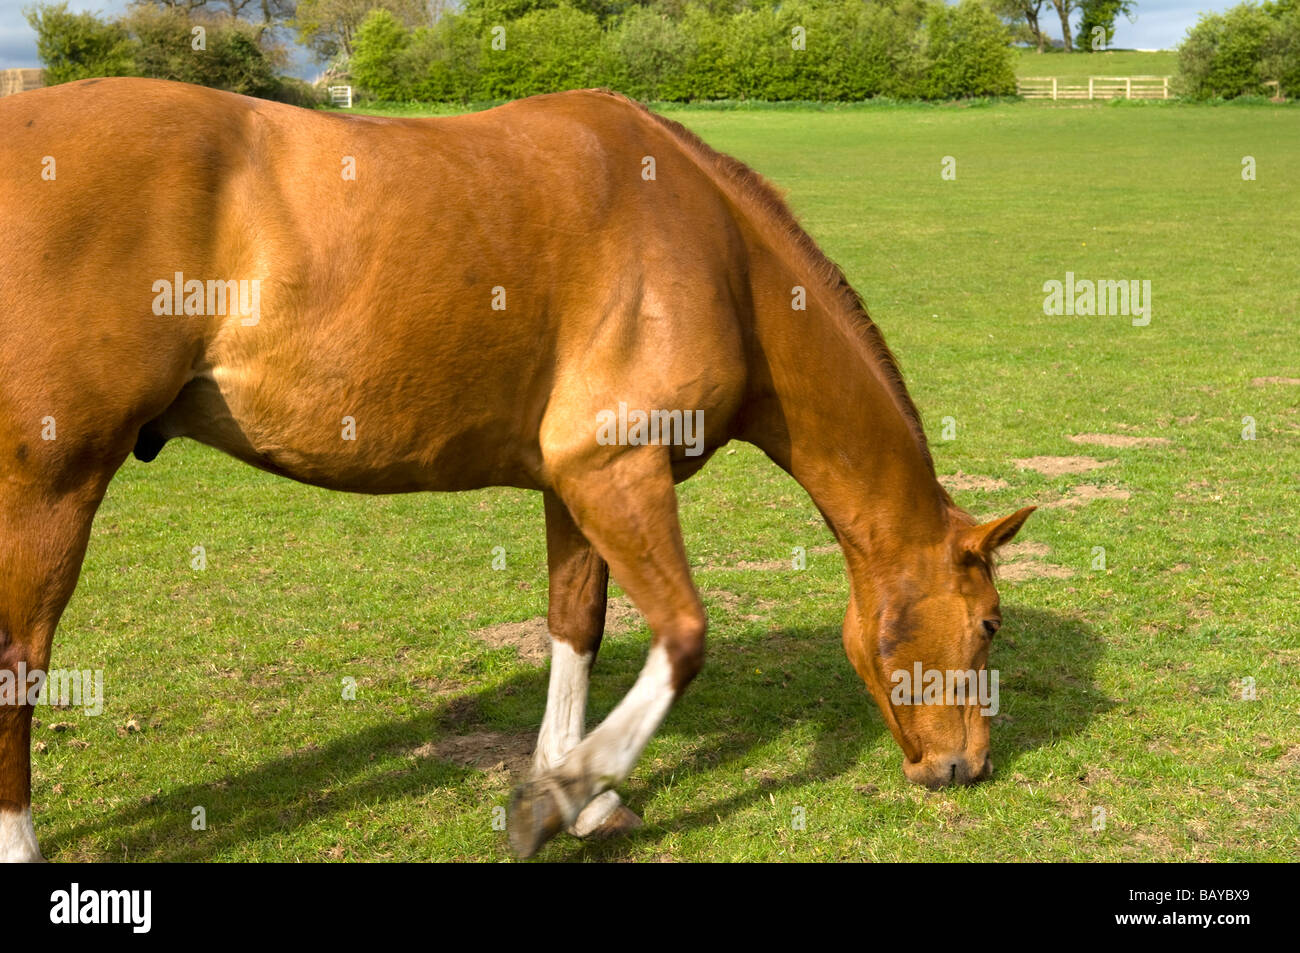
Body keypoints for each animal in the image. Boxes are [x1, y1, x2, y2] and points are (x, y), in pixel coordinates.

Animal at [2, 78, 1034, 858]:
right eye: (987, 624)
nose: (966, 768)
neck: (716, 252)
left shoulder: (576, 484)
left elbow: (576, 626)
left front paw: (582, 791)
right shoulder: (614, 469)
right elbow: (682, 636)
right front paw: (559, 795)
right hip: (51, 485)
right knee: (21, 659)